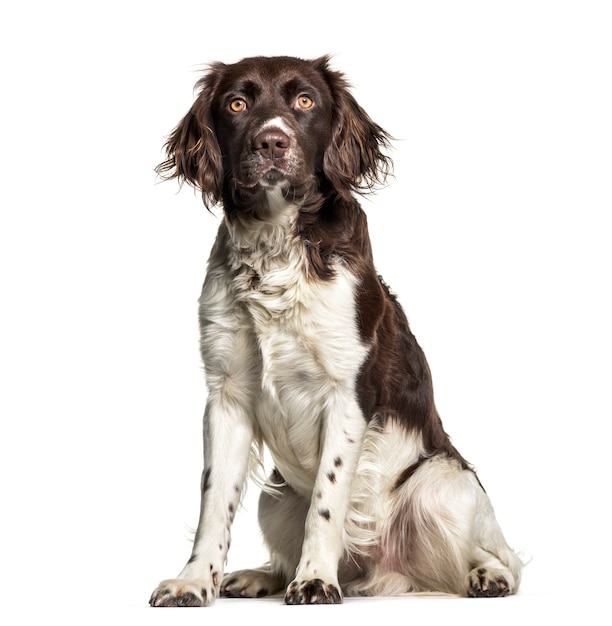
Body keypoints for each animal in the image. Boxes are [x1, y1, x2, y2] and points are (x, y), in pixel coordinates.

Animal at [148, 54, 520, 604]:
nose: (271, 142)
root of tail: (380, 575)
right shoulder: (226, 395)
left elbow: (327, 501)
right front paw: (195, 580)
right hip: (276, 497)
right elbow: (213, 503)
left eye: (305, 101)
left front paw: (316, 579)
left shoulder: (347, 392)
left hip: (441, 484)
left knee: (499, 555)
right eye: (236, 104)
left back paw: (487, 576)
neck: (277, 249)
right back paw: (259, 576)